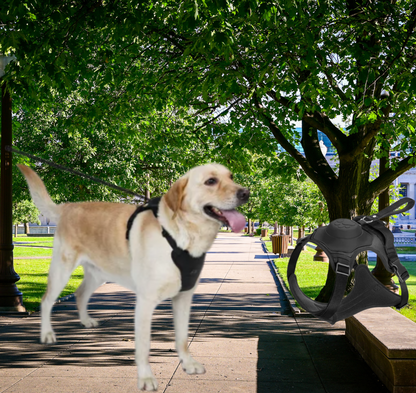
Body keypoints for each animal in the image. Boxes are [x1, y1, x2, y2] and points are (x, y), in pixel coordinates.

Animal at [18, 162, 247, 388]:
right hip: (62, 269)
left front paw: (188, 364)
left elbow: (182, 338)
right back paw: (47, 334)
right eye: (211, 181)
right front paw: (146, 378)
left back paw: (85, 321)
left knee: (80, 293)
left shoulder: (183, 297)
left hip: (98, 273)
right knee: (46, 300)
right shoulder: (146, 302)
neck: (181, 236)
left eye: (231, 176)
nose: (246, 192)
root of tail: (67, 206)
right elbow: (144, 346)